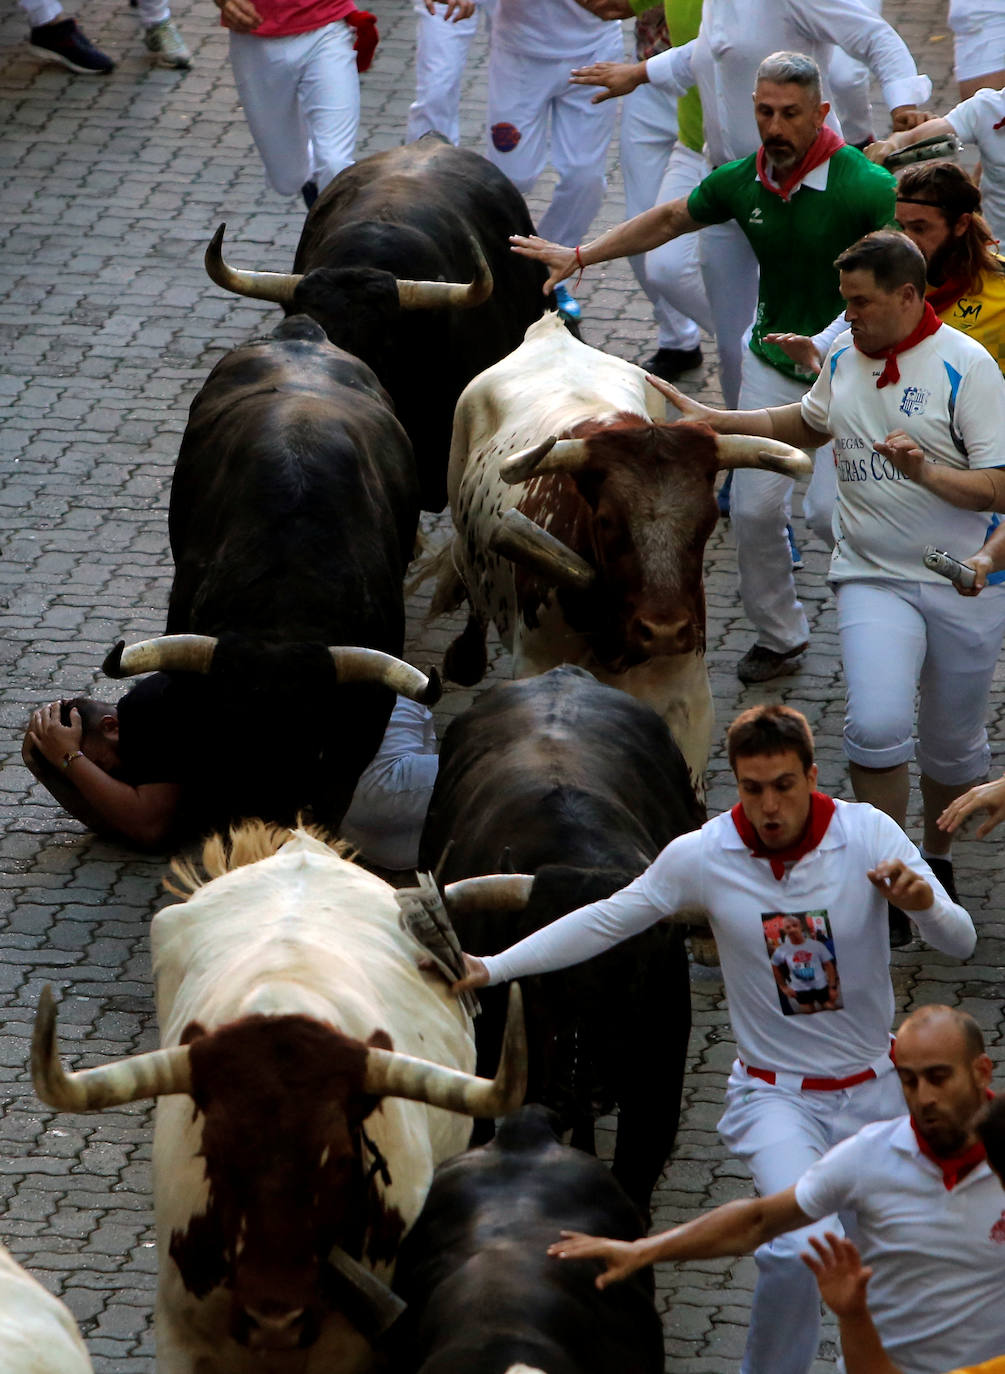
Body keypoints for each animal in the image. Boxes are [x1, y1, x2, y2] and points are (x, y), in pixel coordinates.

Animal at [437, 311, 813, 785]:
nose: (664, 631)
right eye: (606, 521)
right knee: (468, 576)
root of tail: (549, 331)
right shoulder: (537, 669)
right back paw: (464, 658)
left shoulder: (688, 696)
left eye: (708, 521)